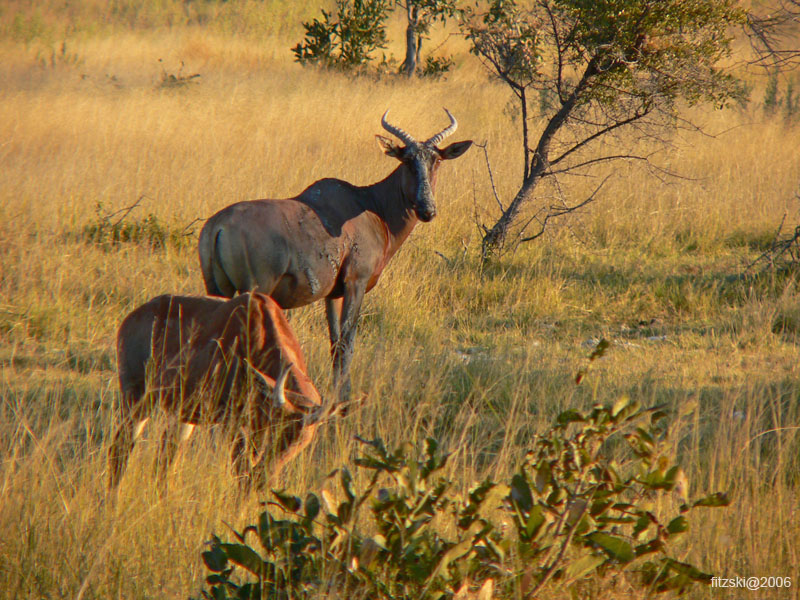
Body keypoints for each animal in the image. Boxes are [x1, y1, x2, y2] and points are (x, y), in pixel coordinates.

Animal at [109, 292, 328, 492]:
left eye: (303, 441)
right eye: (278, 430)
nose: (265, 479)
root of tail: (132, 317)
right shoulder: (232, 424)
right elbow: (241, 473)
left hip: (182, 417)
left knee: (165, 457)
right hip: (137, 397)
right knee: (120, 447)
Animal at [199, 111, 472, 404]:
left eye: (437, 160)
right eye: (407, 160)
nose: (427, 210)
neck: (369, 205)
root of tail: (218, 226)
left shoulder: (332, 293)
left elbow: (334, 343)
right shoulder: (356, 283)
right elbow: (347, 343)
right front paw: (345, 401)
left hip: (218, 291)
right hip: (254, 292)